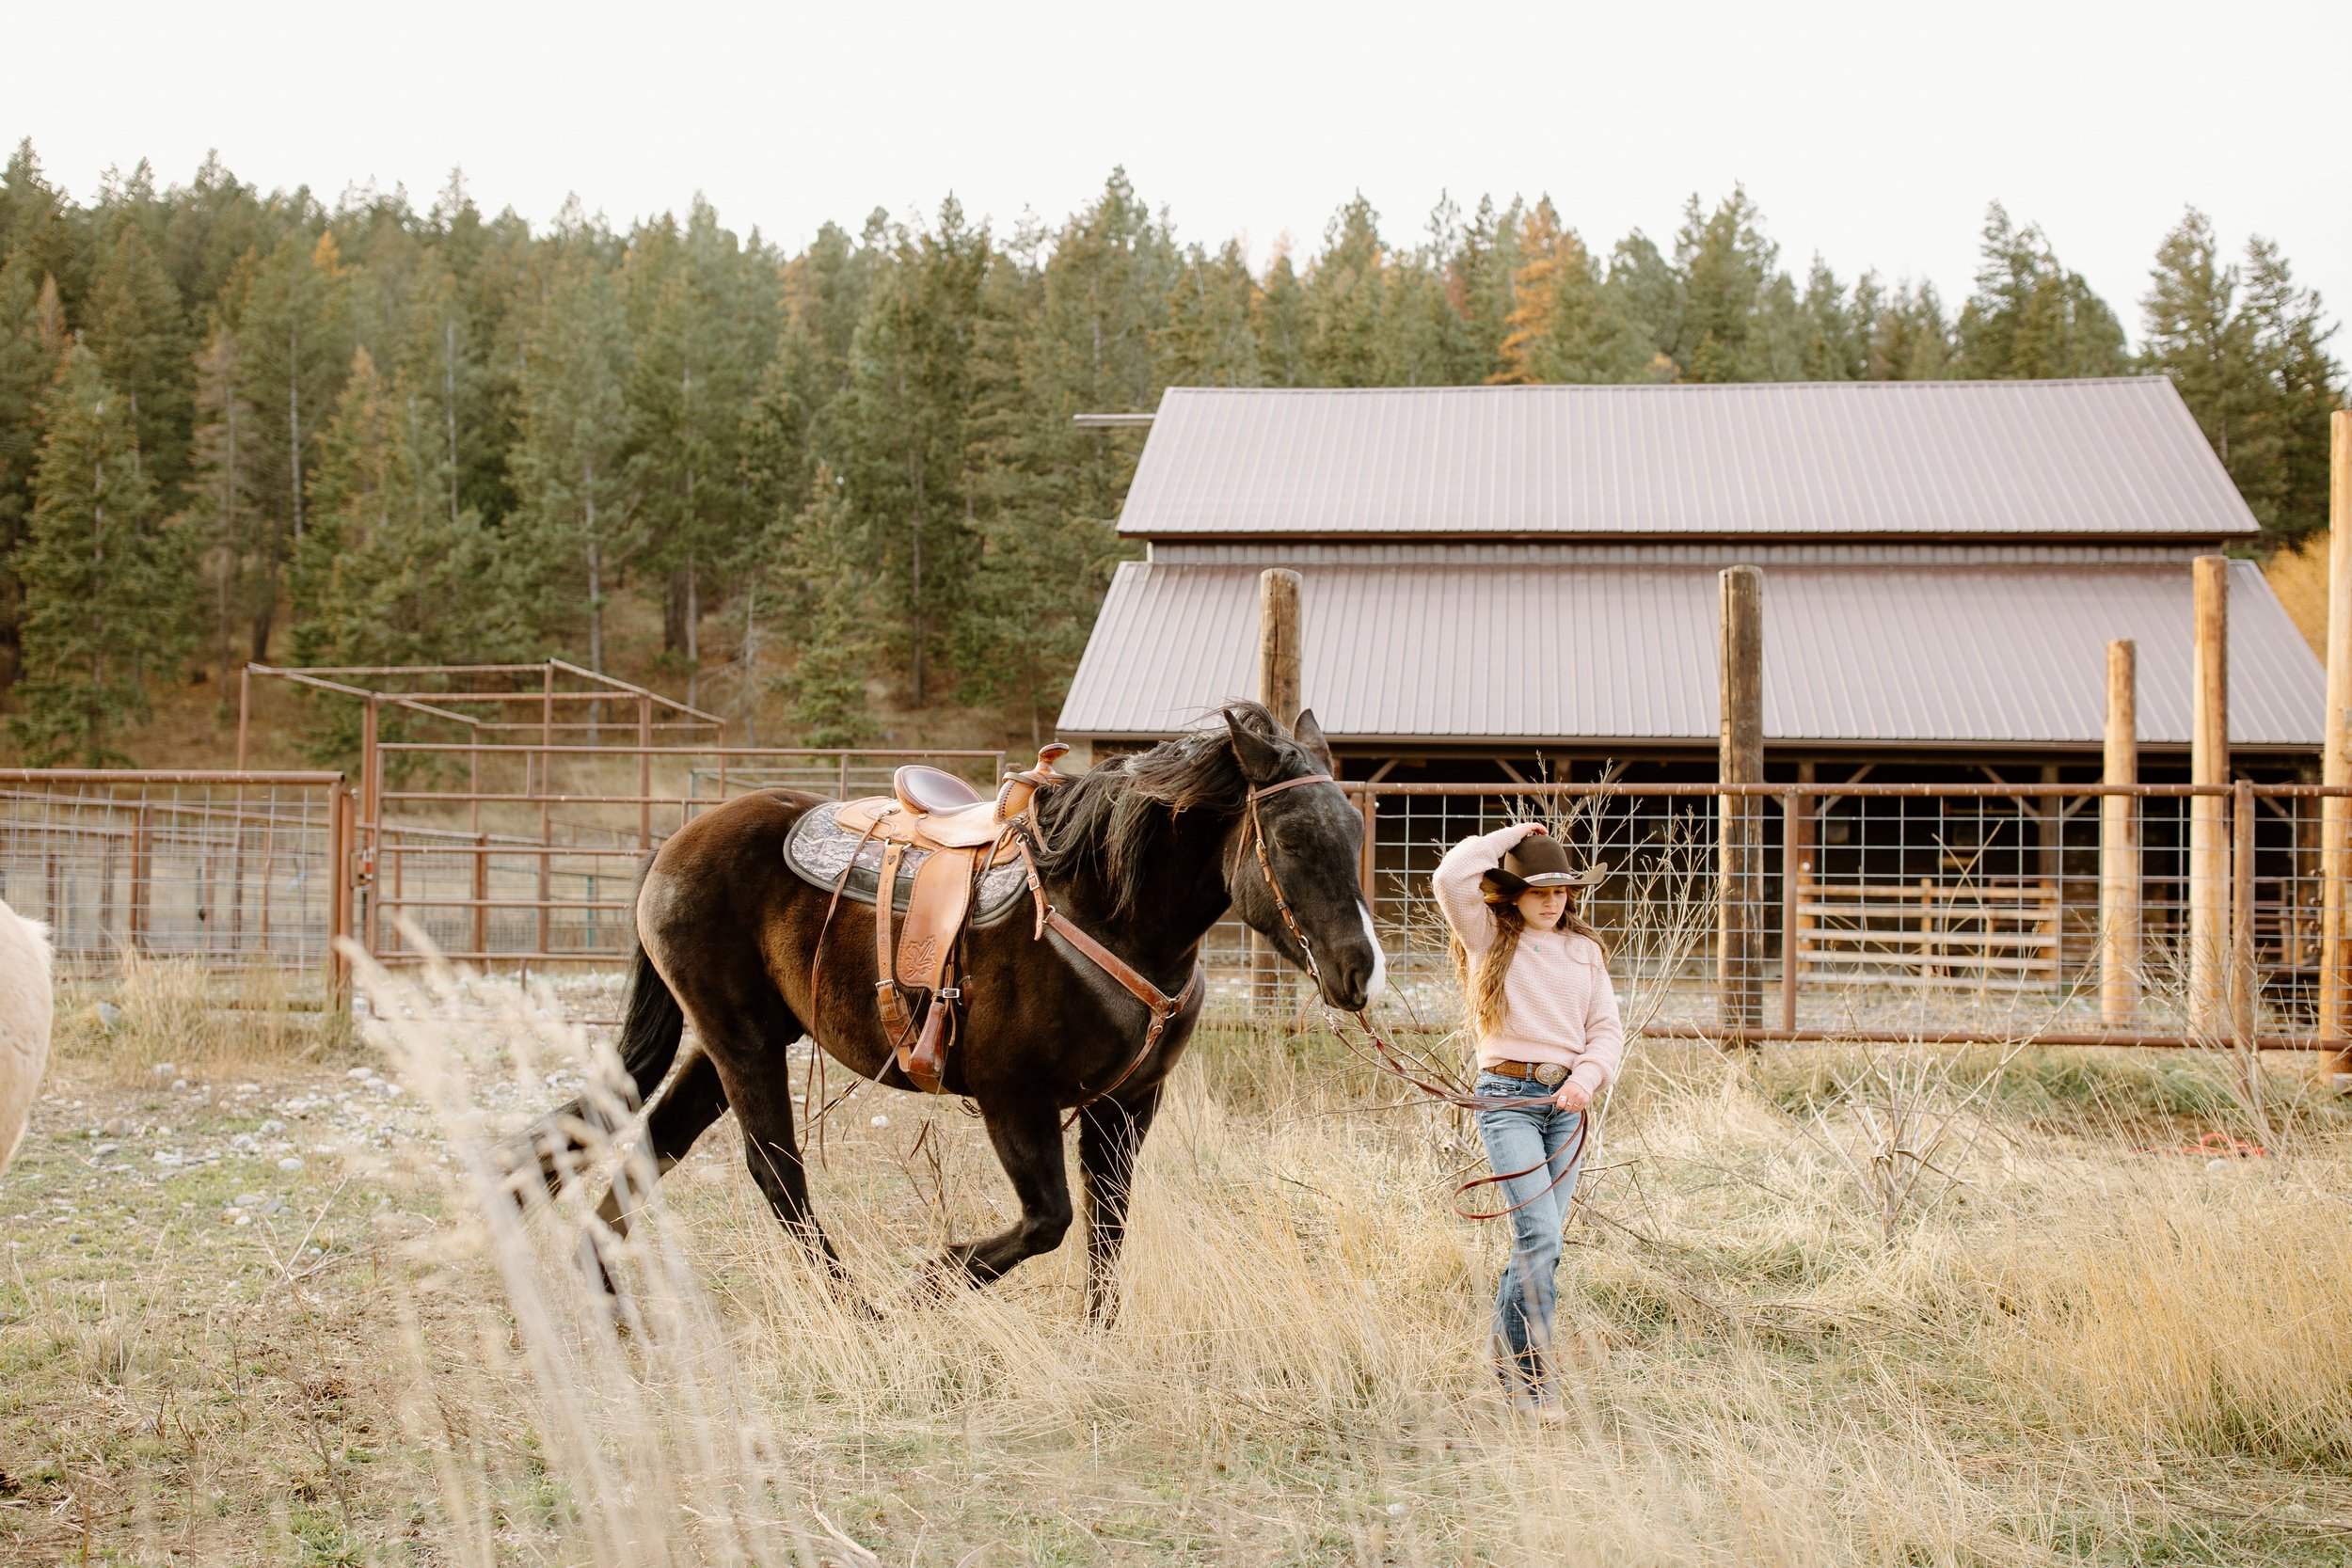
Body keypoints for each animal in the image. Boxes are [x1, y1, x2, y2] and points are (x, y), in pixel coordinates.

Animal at [533, 705, 1374, 1316]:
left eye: (1358, 829)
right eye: (1291, 837)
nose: (1360, 967)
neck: (1106, 909)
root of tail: (675, 842)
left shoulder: (1129, 1103)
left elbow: (1108, 1226)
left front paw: (1097, 1335)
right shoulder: (1015, 1099)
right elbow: (1050, 1220)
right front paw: (929, 1281)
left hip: (732, 1041)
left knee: (652, 1139)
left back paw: (601, 1284)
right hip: (741, 1042)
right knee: (775, 1171)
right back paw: (857, 1309)